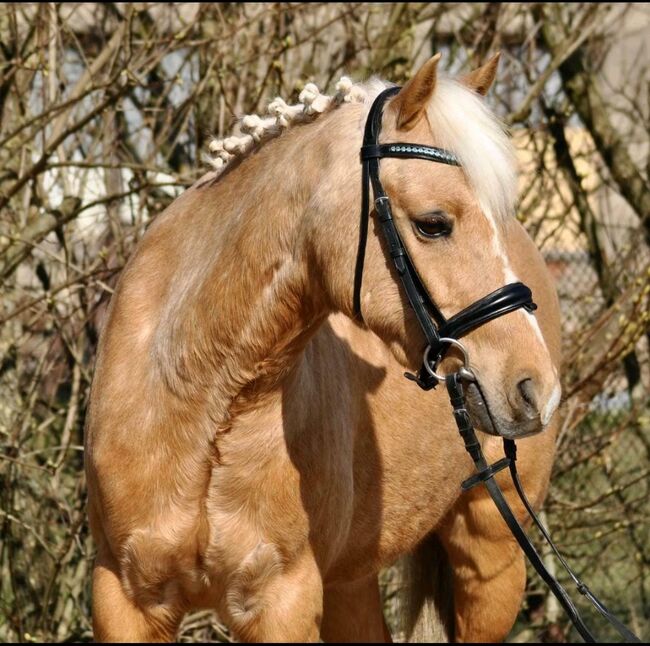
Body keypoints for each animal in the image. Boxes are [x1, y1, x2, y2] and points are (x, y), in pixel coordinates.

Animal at [85, 54, 560, 644]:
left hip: (493, 559)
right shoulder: (125, 597)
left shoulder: (283, 603)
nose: (535, 388)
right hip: (351, 583)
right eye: (433, 224)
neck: (193, 397)